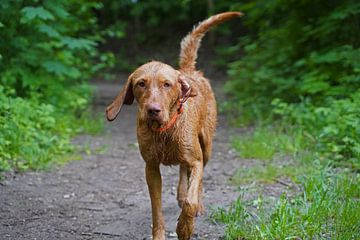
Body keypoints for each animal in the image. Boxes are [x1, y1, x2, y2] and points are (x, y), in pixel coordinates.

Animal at [105, 11, 243, 240]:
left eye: (166, 84)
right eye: (140, 83)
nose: (153, 110)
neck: (164, 130)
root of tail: (188, 70)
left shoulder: (196, 160)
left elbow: (191, 199)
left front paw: (185, 227)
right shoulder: (151, 168)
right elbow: (156, 209)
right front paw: (160, 234)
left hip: (206, 146)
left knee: (197, 179)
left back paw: (197, 205)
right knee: (182, 170)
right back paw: (180, 193)